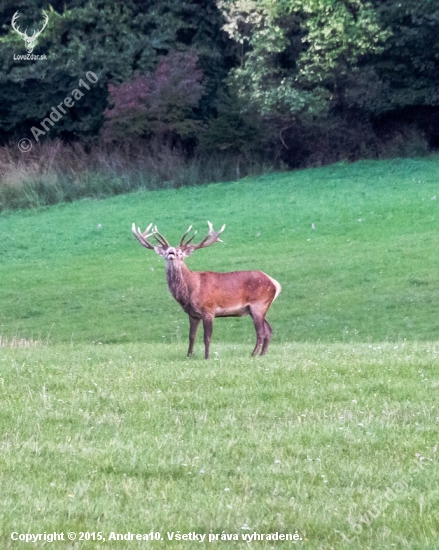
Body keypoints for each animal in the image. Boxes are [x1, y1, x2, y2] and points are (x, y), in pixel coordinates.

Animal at [132, 222, 282, 360]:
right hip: (257, 308)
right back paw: (262, 354)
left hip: (259, 304)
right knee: (269, 330)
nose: (171, 252)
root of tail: (275, 283)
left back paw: (253, 354)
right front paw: (188, 355)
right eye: (165, 251)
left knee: (261, 332)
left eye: (180, 252)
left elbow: (207, 337)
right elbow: (191, 336)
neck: (190, 292)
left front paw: (207, 357)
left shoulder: (209, 309)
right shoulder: (192, 314)